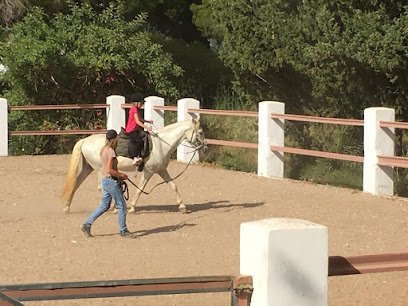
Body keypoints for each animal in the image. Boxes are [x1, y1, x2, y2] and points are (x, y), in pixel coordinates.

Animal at [59, 118, 207, 214]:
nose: (205, 147)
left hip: (87, 168)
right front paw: (132, 207)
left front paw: (182, 206)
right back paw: (114, 207)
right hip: (100, 170)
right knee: (101, 187)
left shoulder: (161, 170)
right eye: (200, 132)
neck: (161, 144)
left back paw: (66, 208)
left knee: (76, 184)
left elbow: (173, 185)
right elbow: (140, 189)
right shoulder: (149, 172)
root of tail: (85, 140)